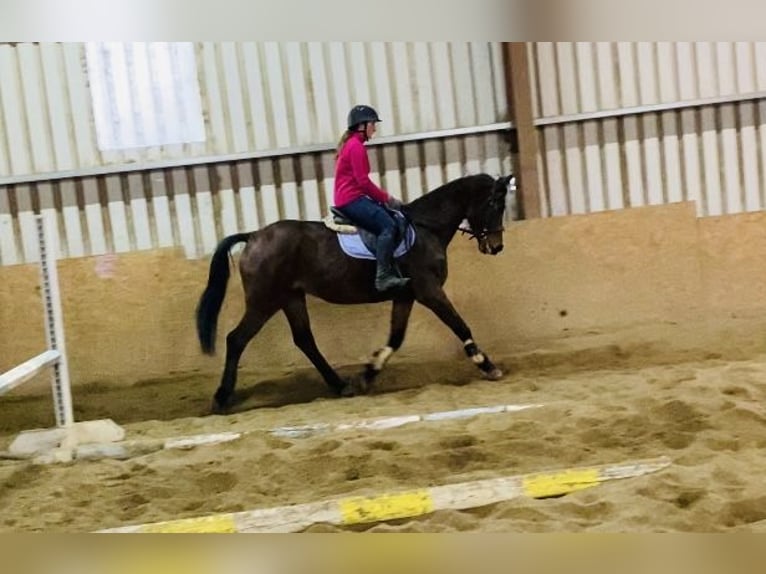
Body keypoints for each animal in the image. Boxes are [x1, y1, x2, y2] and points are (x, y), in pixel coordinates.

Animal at [198, 172, 520, 414]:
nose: (496, 246)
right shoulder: (429, 291)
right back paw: (222, 398)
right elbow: (460, 325)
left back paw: (341, 385)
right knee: (237, 339)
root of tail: (253, 237)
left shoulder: (405, 295)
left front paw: (368, 374)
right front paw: (487, 366)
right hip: (264, 301)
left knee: (304, 340)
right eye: (494, 203)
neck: (426, 228)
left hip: (290, 297)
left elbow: (396, 338)